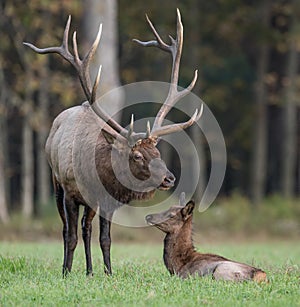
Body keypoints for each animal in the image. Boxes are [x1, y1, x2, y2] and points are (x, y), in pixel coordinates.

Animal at [23, 9, 202, 276]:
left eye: (157, 151)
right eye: (137, 156)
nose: (169, 178)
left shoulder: (107, 201)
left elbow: (105, 238)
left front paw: (108, 273)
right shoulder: (69, 192)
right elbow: (70, 235)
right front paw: (66, 272)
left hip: (90, 204)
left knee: (86, 228)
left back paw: (89, 271)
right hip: (56, 182)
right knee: (68, 229)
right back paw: (72, 268)